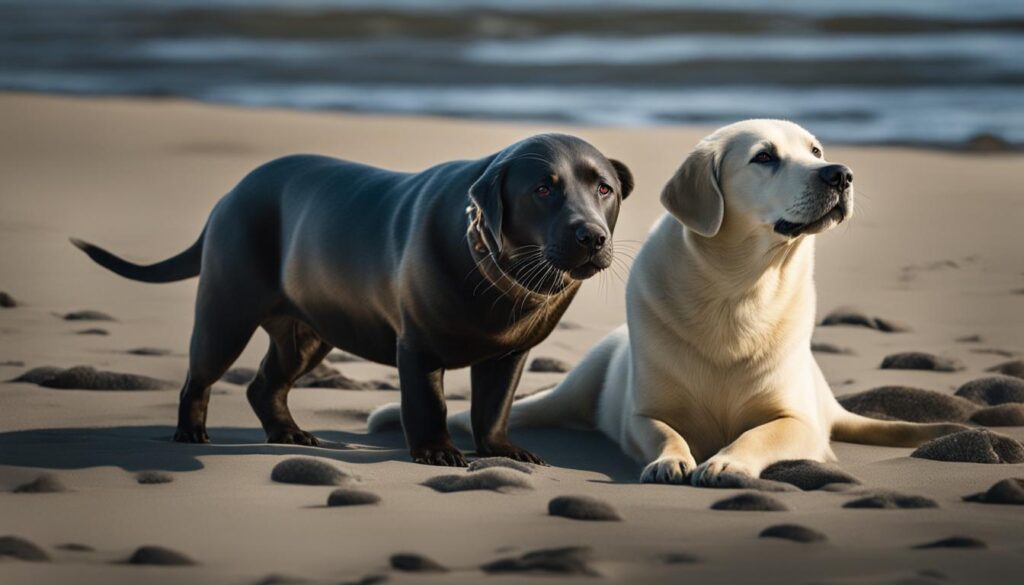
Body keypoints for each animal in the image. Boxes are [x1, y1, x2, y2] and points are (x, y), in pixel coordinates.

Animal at [72, 134, 630, 467]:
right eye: (543, 189)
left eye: (603, 188)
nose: (591, 236)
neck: (504, 283)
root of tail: (228, 197)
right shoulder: (418, 348)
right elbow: (427, 404)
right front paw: (438, 454)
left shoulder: (510, 356)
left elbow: (493, 409)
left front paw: (505, 452)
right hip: (224, 314)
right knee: (198, 379)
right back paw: (191, 435)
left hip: (306, 335)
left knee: (264, 386)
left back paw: (290, 435)